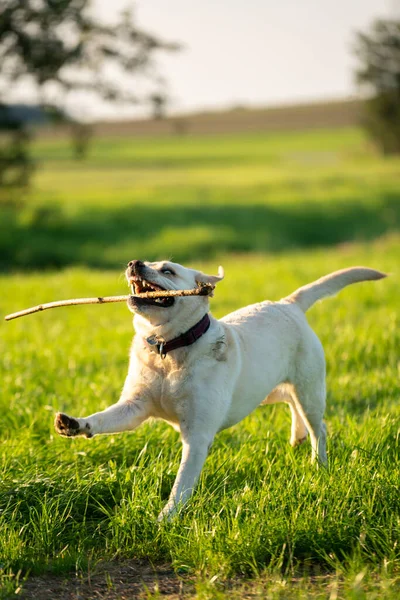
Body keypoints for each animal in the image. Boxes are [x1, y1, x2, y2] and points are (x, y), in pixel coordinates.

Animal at [54, 260, 386, 516]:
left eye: (168, 270)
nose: (134, 263)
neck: (168, 349)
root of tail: (288, 304)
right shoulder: (134, 408)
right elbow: (103, 419)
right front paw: (74, 424)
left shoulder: (197, 436)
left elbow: (182, 483)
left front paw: (166, 518)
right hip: (265, 391)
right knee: (289, 401)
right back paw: (297, 436)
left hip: (309, 389)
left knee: (320, 428)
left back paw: (319, 464)